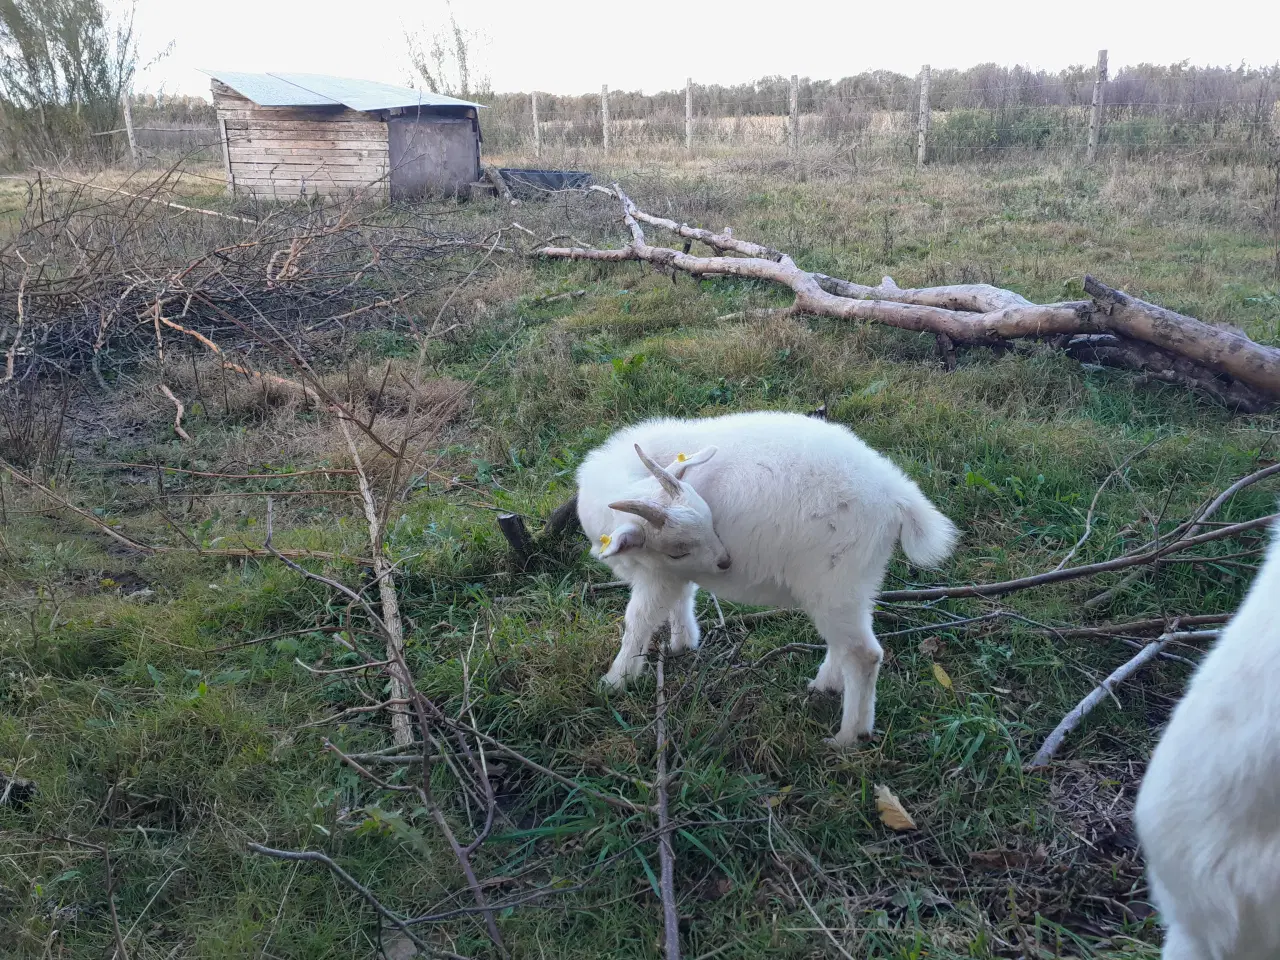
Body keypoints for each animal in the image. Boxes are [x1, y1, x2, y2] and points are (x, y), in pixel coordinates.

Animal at [576, 409, 957, 747]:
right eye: (679, 551)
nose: (725, 562)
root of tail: (897, 495)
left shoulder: (658, 574)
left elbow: (638, 621)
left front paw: (615, 681)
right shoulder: (674, 573)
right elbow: (681, 599)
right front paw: (682, 644)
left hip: (834, 579)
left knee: (863, 654)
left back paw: (847, 738)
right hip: (853, 582)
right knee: (846, 642)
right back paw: (825, 685)